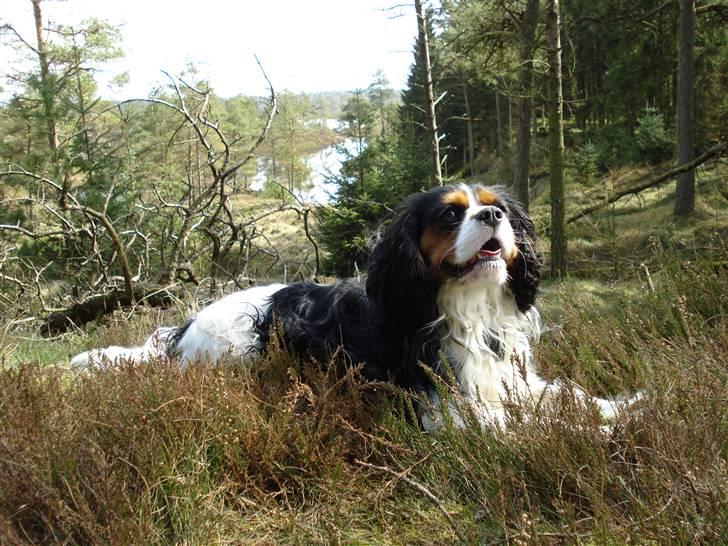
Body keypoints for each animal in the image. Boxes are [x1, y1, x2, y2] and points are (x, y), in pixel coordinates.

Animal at [75, 183, 632, 430]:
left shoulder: (510, 378)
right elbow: (531, 423)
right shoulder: (451, 410)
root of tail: (184, 328)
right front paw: (593, 433)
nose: (492, 217)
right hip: (239, 354)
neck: (470, 309)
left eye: (499, 209)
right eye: (450, 216)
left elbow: (564, 395)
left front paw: (622, 408)